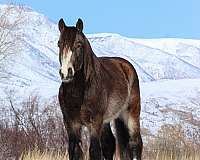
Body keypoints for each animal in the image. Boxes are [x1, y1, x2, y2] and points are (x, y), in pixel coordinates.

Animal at [57, 18, 142, 159]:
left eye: (78, 44)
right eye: (59, 44)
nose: (65, 73)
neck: (80, 93)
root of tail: (125, 65)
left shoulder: (94, 123)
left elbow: (94, 151)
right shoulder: (71, 124)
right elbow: (75, 151)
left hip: (131, 115)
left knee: (136, 143)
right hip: (107, 121)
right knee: (109, 144)